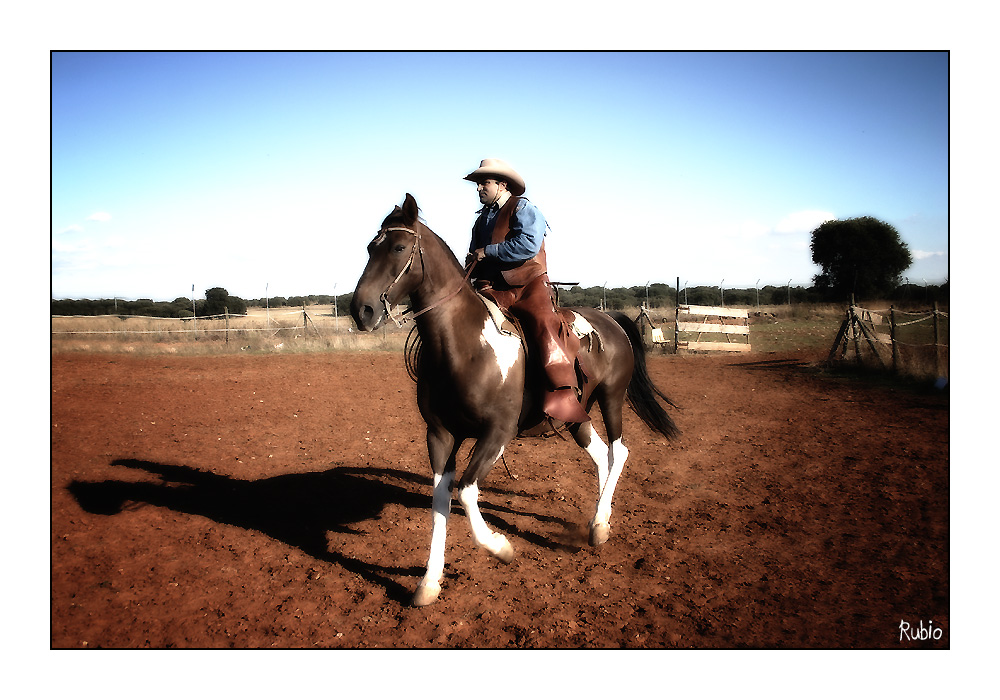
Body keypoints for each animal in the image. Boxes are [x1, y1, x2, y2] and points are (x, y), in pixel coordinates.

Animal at [352, 193, 680, 608]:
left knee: (618, 452)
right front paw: (429, 581)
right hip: (577, 415)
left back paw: (598, 528)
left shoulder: (497, 432)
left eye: (397, 247)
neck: (464, 344)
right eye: (369, 248)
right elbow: (441, 499)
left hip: (611, 398)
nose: (360, 310)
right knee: (601, 455)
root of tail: (611, 321)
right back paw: (598, 519)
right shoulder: (440, 435)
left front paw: (501, 547)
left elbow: (467, 492)